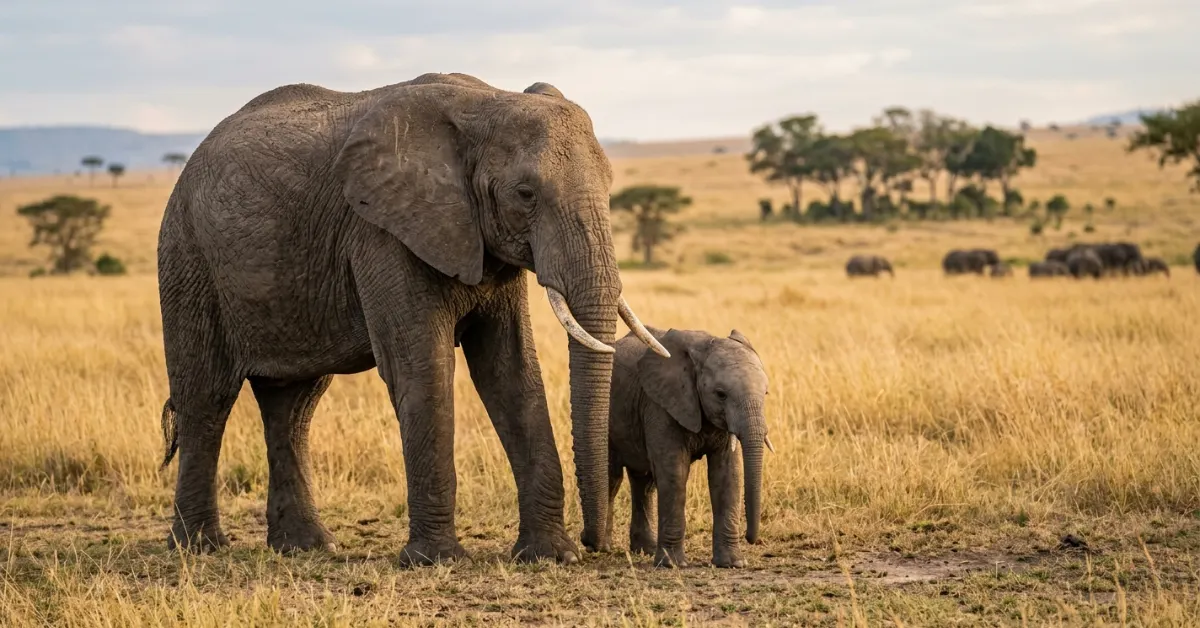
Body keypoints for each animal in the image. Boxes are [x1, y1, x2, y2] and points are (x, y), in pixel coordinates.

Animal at [153, 72, 670, 566]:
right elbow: (423, 367)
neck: (485, 102)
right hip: (188, 257)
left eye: (610, 186)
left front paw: (550, 555)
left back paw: (308, 547)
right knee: (207, 398)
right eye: (525, 193)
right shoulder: (381, 232)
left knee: (293, 406)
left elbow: (511, 373)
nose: (596, 544)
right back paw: (199, 547)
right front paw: (436, 561)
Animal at [605, 327, 772, 569]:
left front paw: (733, 563)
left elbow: (727, 474)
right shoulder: (660, 405)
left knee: (643, 482)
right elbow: (674, 471)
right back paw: (603, 547)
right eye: (721, 394)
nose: (751, 539)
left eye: (766, 393)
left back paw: (645, 550)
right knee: (611, 477)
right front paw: (673, 564)